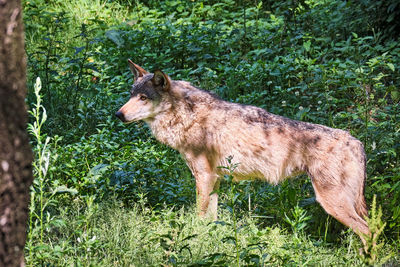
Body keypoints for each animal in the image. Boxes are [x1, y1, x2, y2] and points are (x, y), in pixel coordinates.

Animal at [115, 60, 368, 245]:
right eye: (131, 95)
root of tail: (356, 141)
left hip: (332, 202)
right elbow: (212, 219)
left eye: (144, 98)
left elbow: (199, 217)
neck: (186, 115)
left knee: (368, 231)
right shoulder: (214, 179)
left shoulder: (203, 176)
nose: (118, 114)